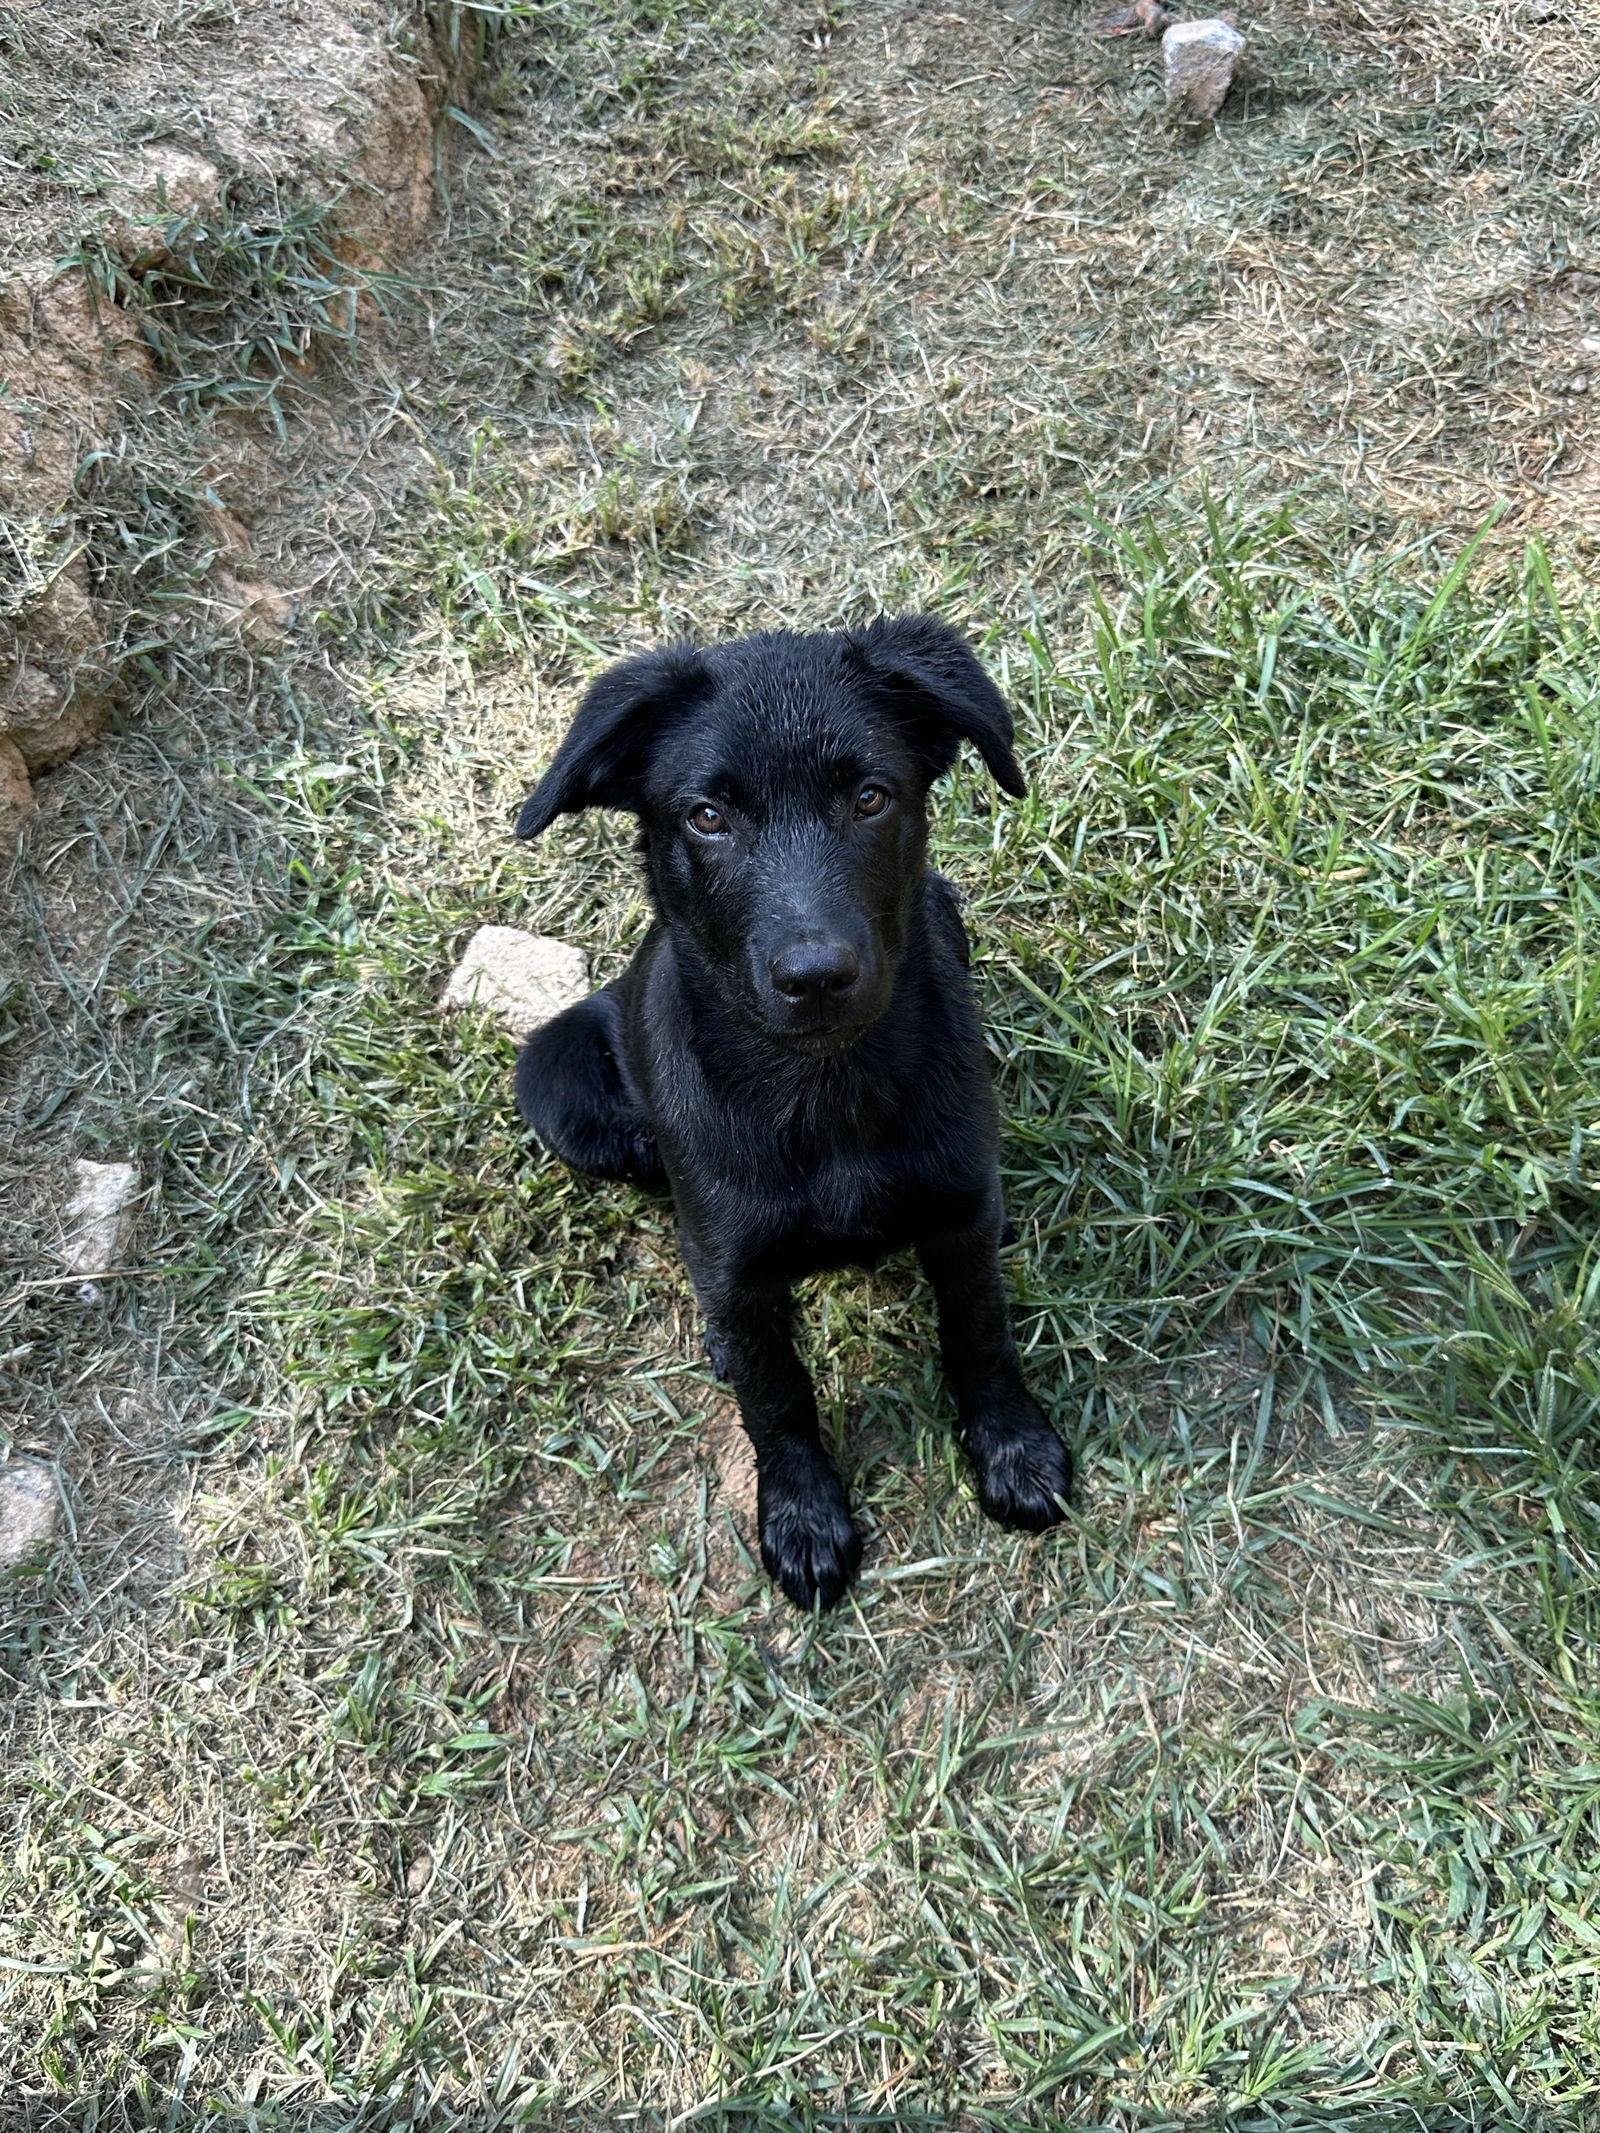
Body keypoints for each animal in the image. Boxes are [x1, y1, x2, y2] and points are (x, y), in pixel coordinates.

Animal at [520, 622, 1070, 1604]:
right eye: (707, 816)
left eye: (870, 797)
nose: (815, 977)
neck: (823, 1088)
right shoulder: (737, 1264)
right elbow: (775, 1395)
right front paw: (802, 1512)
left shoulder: (960, 1210)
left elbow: (980, 1329)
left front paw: (1013, 1446)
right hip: (558, 1083)